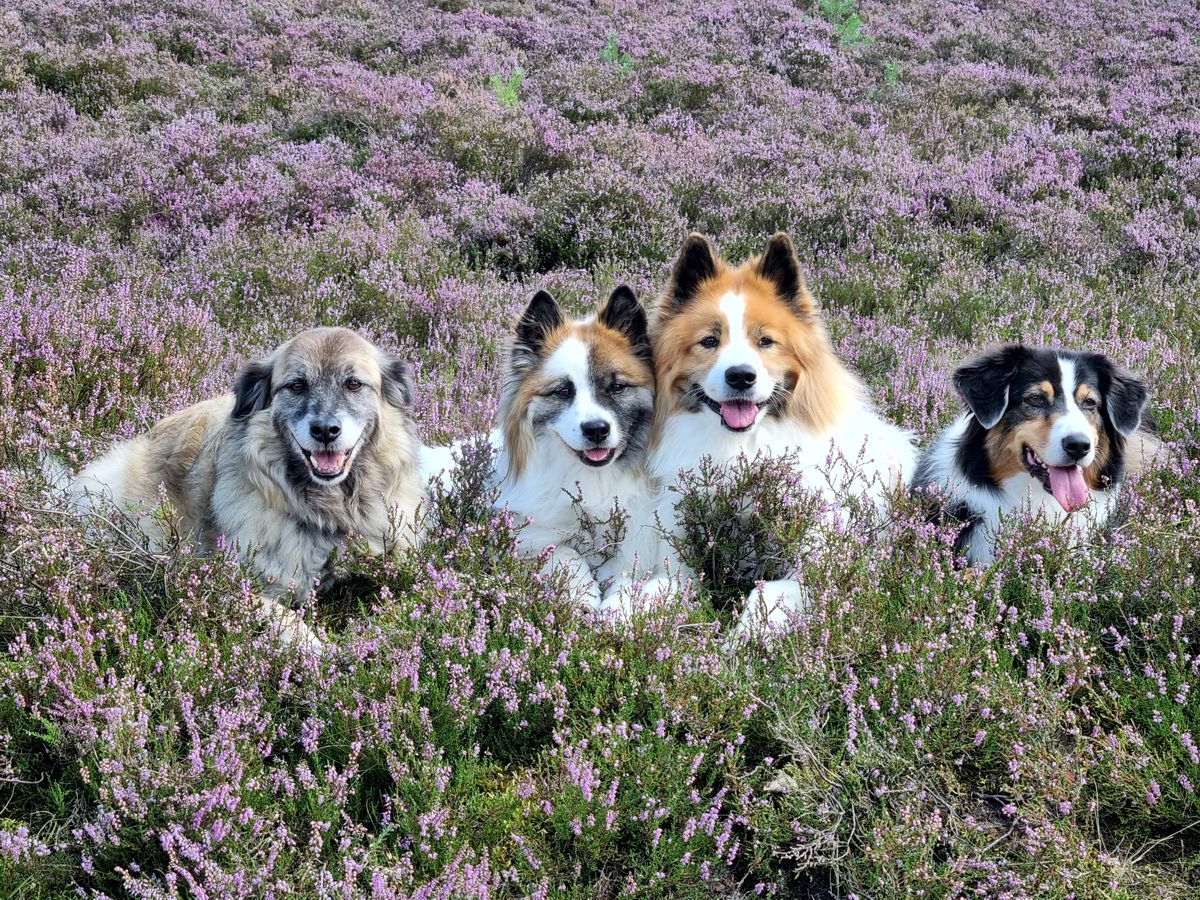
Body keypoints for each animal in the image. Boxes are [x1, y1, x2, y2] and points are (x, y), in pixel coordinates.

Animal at [643, 232, 912, 628]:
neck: (742, 451)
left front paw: (744, 637)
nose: (741, 376)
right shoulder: (674, 545)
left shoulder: (815, 556)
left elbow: (767, 592)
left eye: (765, 341)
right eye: (709, 341)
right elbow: (653, 586)